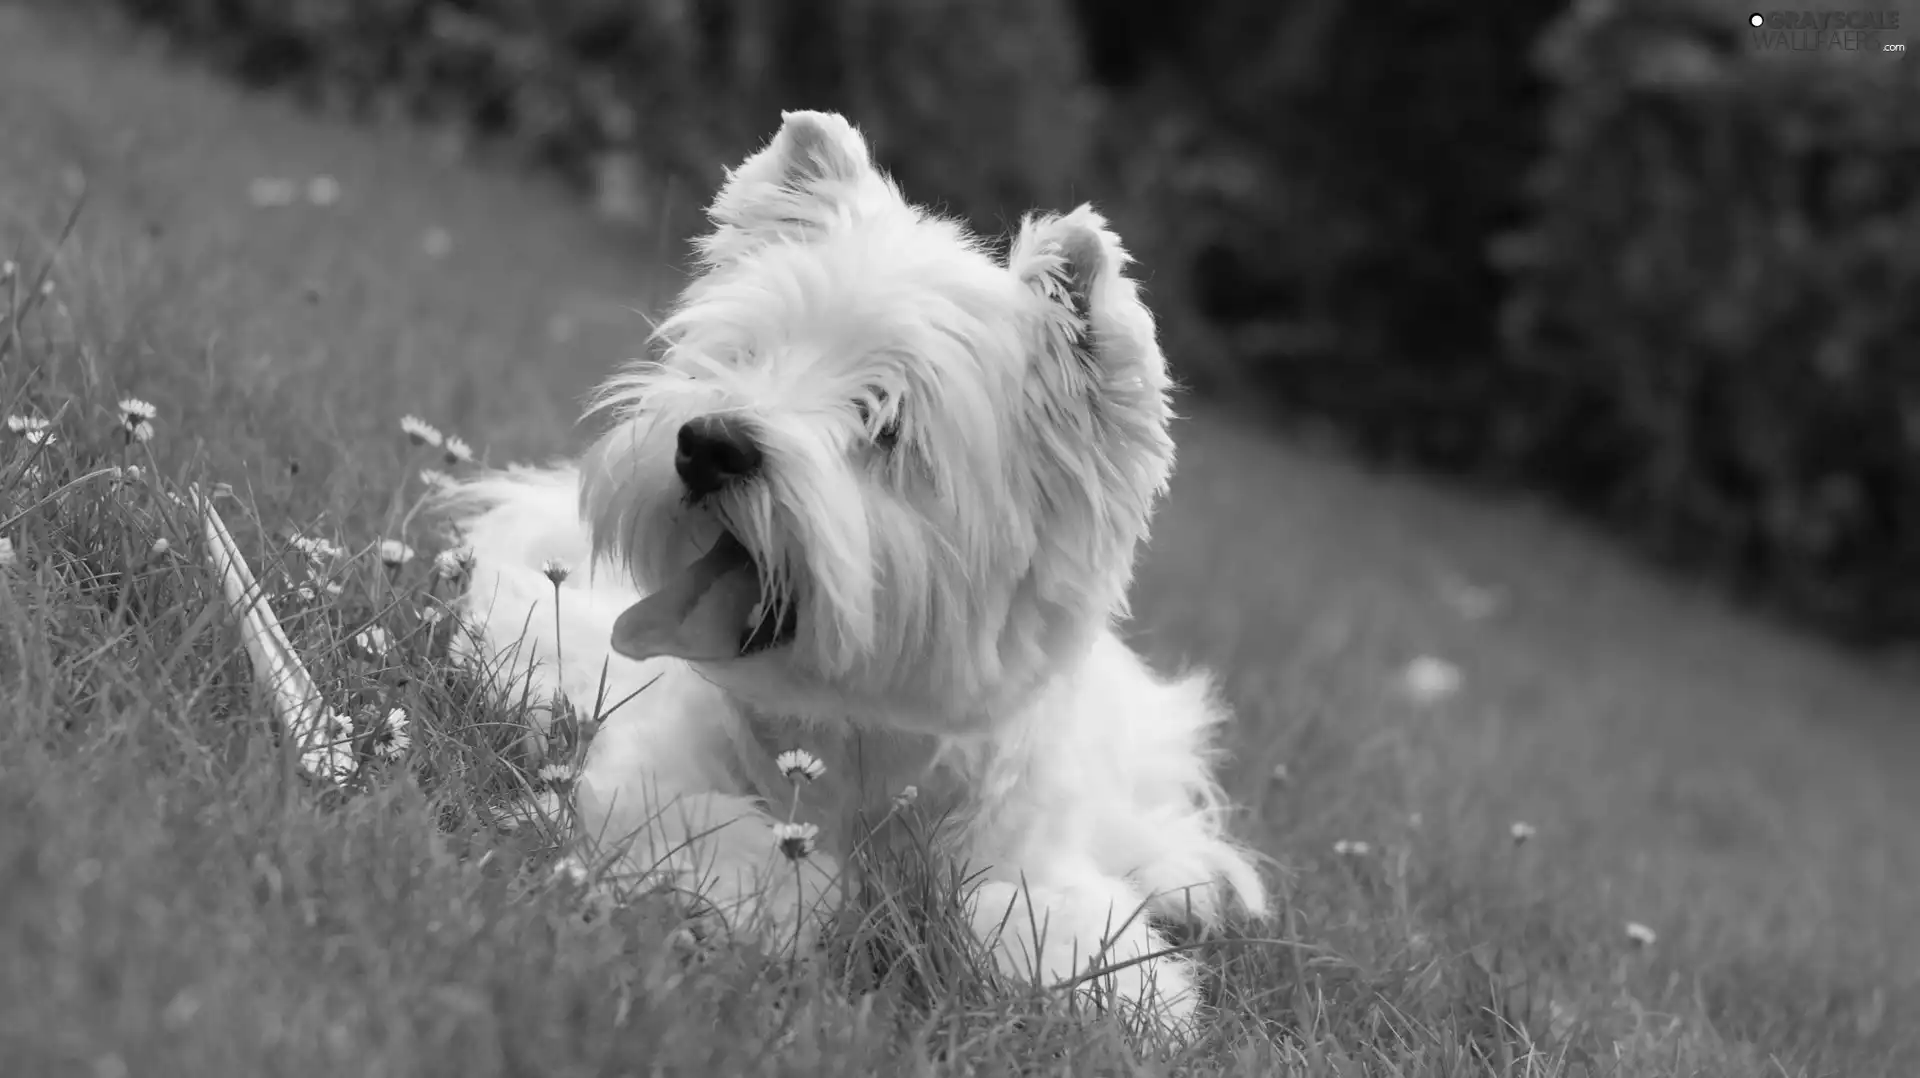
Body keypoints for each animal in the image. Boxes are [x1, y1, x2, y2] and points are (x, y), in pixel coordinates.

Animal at [441, 113, 1267, 1029]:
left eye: (885, 421)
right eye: (748, 354)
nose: (708, 445)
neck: (856, 737)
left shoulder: (1031, 860)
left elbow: (1035, 924)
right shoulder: (646, 779)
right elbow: (726, 843)